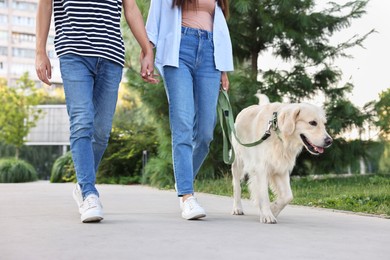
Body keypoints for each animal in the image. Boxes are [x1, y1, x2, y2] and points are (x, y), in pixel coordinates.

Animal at [230, 94, 334, 223]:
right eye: (312, 123)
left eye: (324, 124)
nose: (329, 141)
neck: (278, 132)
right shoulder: (261, 168)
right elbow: (264, 194)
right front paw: (267, 215)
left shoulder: (281, 168)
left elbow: (288, 196)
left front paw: (273, 209)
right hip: (238, 162)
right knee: (236, 186)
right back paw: (237, 208)